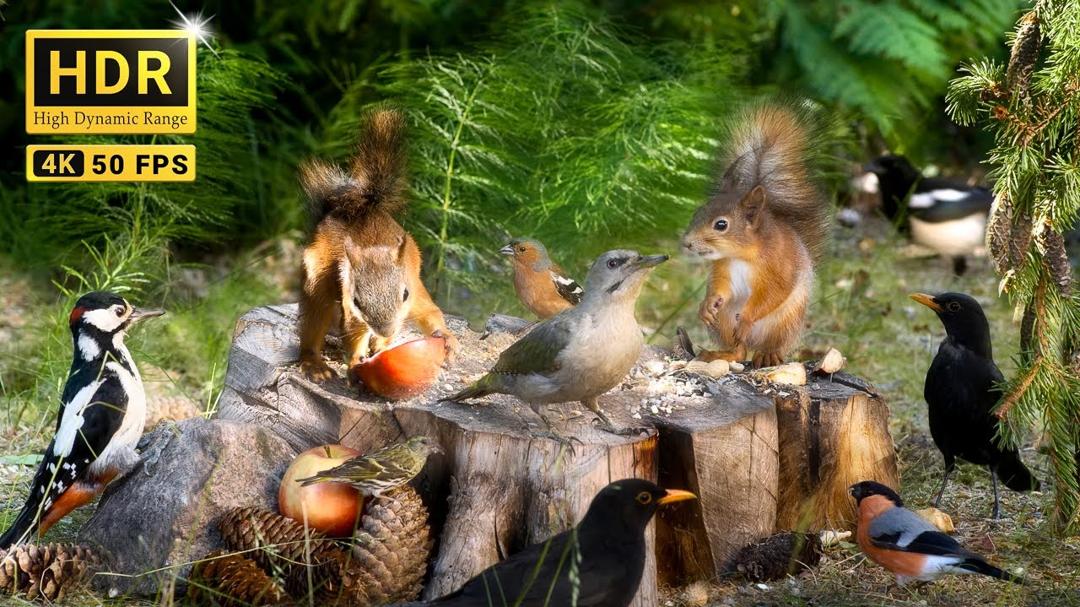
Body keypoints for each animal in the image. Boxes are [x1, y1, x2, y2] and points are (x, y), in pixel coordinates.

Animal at [297, 108, 454, 382]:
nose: (385, 330)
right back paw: (314, 363)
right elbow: (353, 331)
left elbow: (430, 314)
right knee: (315, 317)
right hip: (318, 279)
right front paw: (356, 361)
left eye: (405, 293)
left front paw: (443, 338)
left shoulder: (415, 291)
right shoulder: (351, 307)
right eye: (357, 301)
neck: (377, 246)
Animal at [681, 104, 828, 368]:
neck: (742, 254)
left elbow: (772, 294)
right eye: (698, 212)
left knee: (770, 344)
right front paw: (707, 304)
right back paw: (722, 354)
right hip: (725, 318)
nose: (687, 243)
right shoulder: (723, 267)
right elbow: (720, 287)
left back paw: (768, 354)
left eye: (721, 224)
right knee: (739, 350)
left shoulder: (779, 267)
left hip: (784, 322)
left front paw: (748, 317)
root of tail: (753, 342)